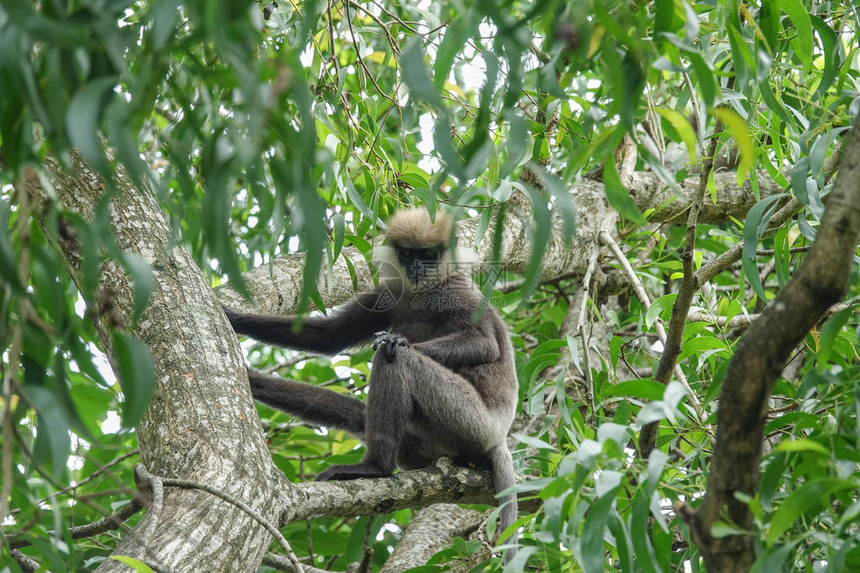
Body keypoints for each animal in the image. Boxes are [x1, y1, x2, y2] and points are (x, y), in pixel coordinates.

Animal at [223, 208, 516, 560]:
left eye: (428, 255)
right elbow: (329, 336)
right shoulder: (387, 294)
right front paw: (233, 320)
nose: (417, 268)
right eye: (409, 255)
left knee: (395, 360)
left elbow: (484, 345)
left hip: (469, 419)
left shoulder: (457, 290)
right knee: (354, 412)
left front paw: (395, 340)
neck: (420, 293)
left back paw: (375, 467)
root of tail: (499, 437)